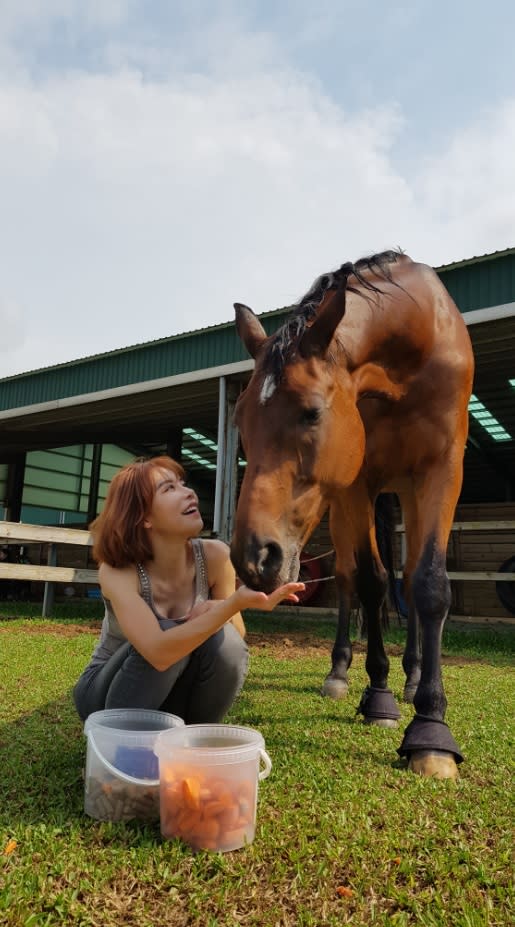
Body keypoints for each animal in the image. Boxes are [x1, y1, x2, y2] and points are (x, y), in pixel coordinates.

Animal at [230, 250, 476, 780]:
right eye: (239, 419)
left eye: (312, 412)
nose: (254, 558)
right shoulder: (358, 479)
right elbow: (369, 581)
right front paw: (379, 698)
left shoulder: (445, 467)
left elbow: (429, 583)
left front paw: (431, 729)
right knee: (347, 580)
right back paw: (341, 672)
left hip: (409, 493)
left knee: (410, 577)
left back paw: (413, 677)